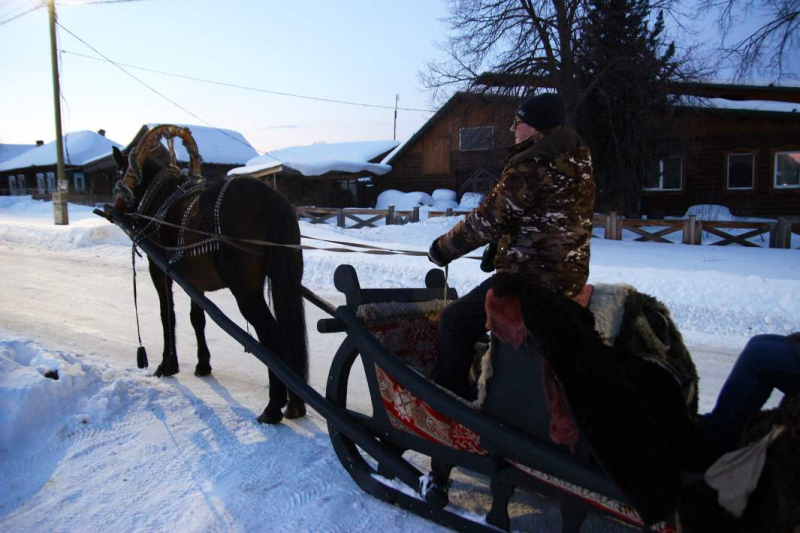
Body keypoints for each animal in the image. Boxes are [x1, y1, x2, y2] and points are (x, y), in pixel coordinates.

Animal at [114, 124, 308, 424]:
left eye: (117, 174)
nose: (115, 207)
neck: (160, 200)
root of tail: (269, 197)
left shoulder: (160, 271)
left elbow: (167, 315)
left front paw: (167, 364)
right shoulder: (195, 282)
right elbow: (198, 319)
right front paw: (203, 364)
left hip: (245, 290)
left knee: (271, 335)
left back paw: (273, 406)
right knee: (287, 332)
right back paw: (294, 404)